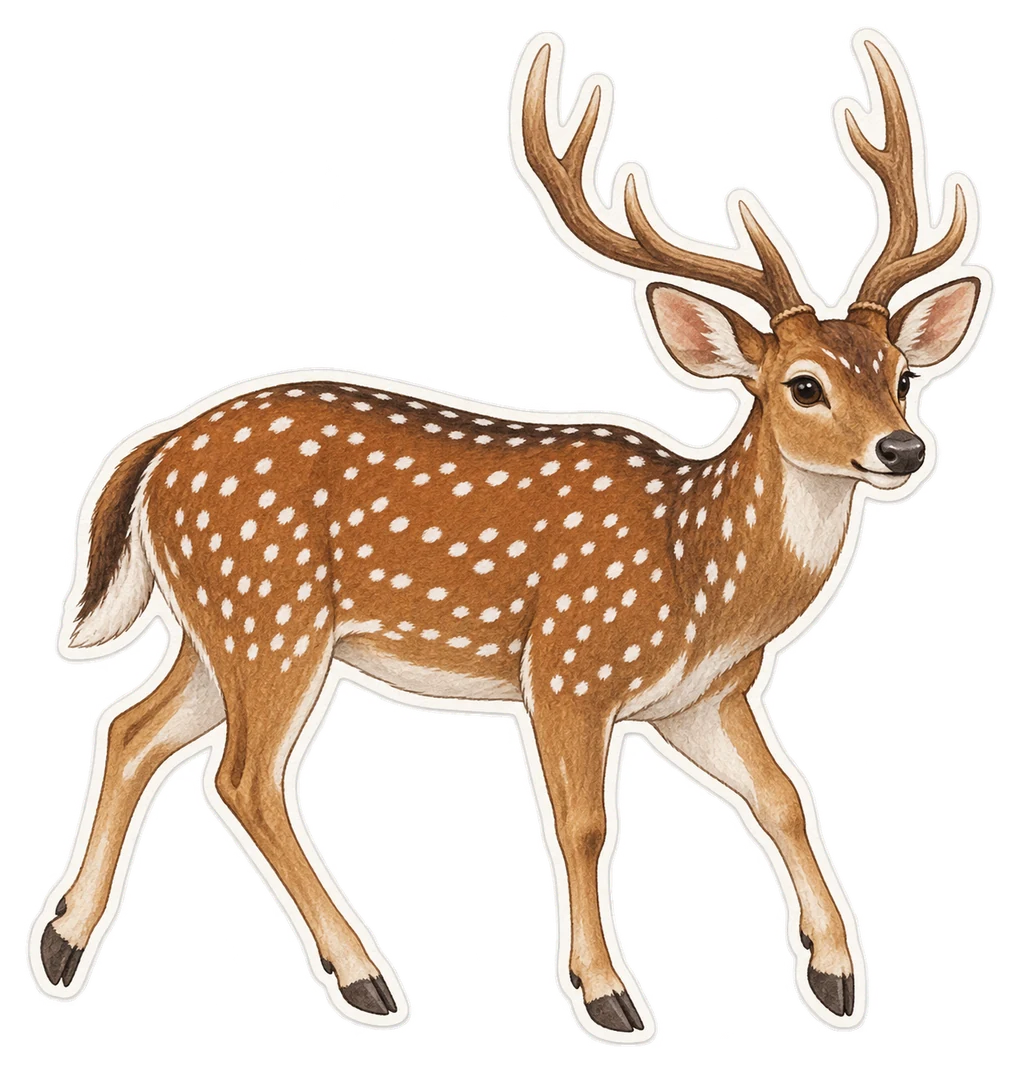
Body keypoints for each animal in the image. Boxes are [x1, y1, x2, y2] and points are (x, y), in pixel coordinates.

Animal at [34, 27, 988, 1038]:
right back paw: (363, 975)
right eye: (803, 384)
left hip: (219, 622)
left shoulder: (704, 698)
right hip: (272, 612)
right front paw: (606, 993)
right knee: (244, 776)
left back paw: (61, 943)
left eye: (899, 373)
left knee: (131, 728)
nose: (901, 448)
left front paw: (836, 974)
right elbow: (584, 822)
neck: (697, 572)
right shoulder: (570, 668)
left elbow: (783, 798)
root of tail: (160, 446)